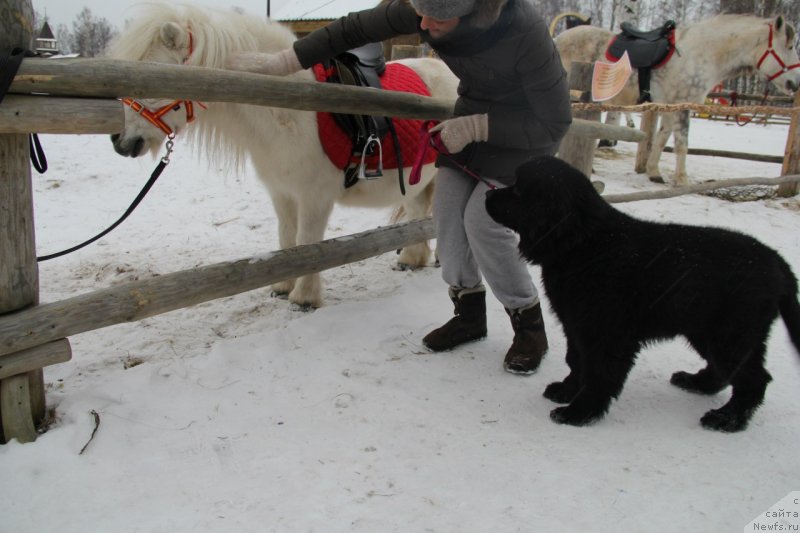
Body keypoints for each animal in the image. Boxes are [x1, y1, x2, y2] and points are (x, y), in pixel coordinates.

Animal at [107, 3, 460, 308]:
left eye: (151, 78)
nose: (119, 141)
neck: (287, 113)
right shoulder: (282, 192)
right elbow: (288, 237)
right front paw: (283, 286)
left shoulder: (315, 196)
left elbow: (308, 241)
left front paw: (304, 297)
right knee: (417, 211)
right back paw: (412, 259)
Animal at [484, 156, 800, 430]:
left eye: (519, 190)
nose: (487, 196)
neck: (584, 243)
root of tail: (779, 263)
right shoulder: (576, 325)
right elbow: (577, 361)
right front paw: (566, 391)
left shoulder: (606, 333)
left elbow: (599, 372)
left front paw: (580, 412)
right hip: (706, 330)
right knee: (725, 371)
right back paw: (696, 383)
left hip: (732, 333)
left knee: (754, 379)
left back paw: (726, 419)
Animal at [556, 14, 800, 185]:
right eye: (789, 46)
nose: (795, 83)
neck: (702, 54)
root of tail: (558, 39)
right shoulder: (683, 106)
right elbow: (682, 143)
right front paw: (682, 180)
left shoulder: (670, 106)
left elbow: (662, 138)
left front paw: (654, 172)